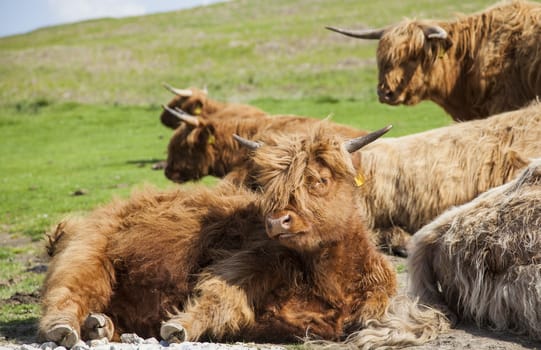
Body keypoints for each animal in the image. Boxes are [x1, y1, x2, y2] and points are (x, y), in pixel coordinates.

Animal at [40, 124, 420, 346]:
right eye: (266, 184)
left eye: (319, 180)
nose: (276, 222)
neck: (328, 277)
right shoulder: (242, 263)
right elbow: (218, 298)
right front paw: (179, 327)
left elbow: (361, 319)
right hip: (85, 252)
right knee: (68, 293)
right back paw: (66, 329)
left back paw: (99, 325)